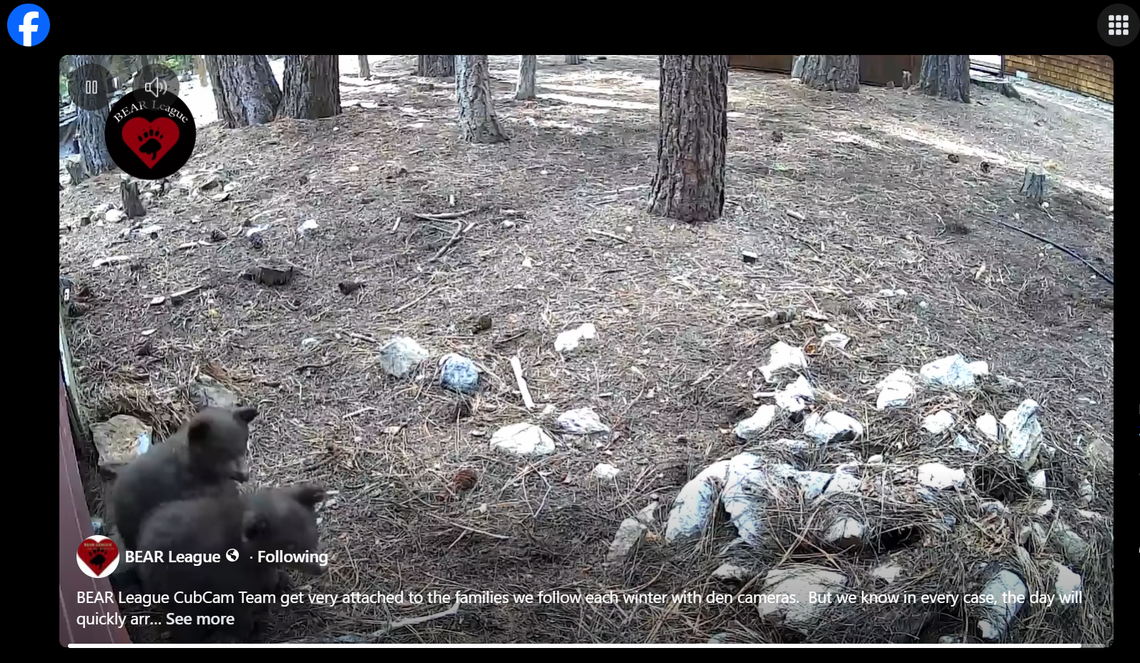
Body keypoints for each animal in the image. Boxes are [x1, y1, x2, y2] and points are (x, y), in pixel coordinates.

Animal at [136, 484, 327, 643]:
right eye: (290, 545)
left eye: (312, 532)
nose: (322, 567)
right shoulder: (224, 577)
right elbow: (235, 607)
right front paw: (253, 629)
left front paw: (279, 583)